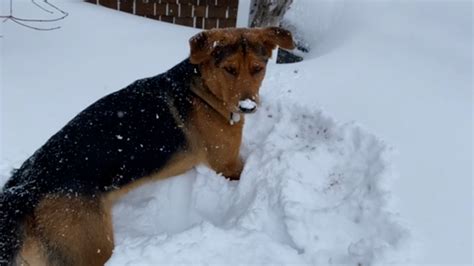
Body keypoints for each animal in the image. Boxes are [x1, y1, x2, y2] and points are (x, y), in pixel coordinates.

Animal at [0, 27, 294, 266]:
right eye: (229, 69)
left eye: (258, 69)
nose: (248, 107)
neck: (203, 91)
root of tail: (25, 188)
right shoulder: (228, 166)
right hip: (92, 247)